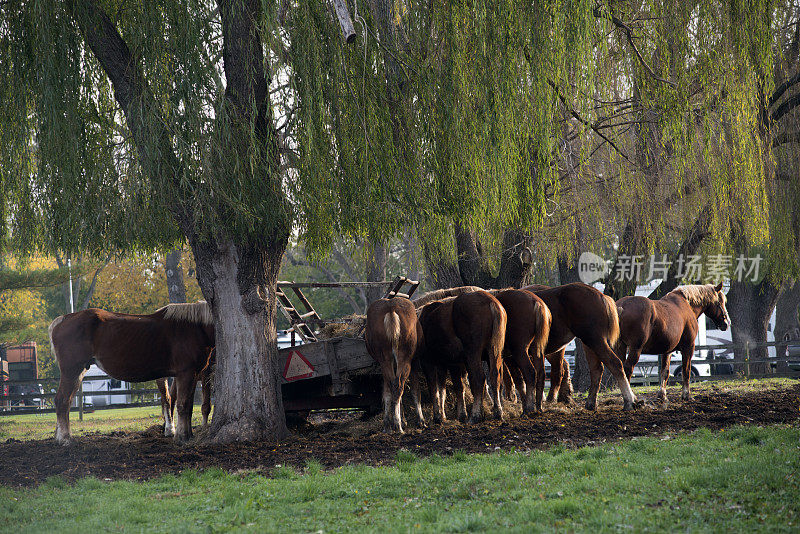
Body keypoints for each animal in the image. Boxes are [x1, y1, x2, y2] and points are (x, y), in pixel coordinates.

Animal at [48, 304, 214, 446]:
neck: (195, 328)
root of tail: (62, 320)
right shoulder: (186, 373)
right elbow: (183, 405)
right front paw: (182, 437)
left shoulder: (193, 375)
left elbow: (188, 406)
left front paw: (189, 435)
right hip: (72, 371)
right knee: (62, 401)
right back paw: (65, 439)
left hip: (79, 372)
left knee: (67, 401)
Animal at [364, 300, 424, 434]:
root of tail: (391, 310)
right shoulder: (415, 360)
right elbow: (415, 390)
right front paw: (421, 421)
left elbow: (388, 392)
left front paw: (402, 420)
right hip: (405, 356)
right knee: (399, 385)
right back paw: (398, 425)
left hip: (384, 357)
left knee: (392, 386)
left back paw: (389, 425)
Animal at [418, 292, 506, 426]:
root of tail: (492, 303)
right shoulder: (448, 363)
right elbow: (444, 389)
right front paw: (445, 415)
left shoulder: (433, 361)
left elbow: (438, 388)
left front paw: (440, 416)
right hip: (495, 350)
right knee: (495, 377)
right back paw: (498, 412)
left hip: (473, 352)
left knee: (479, 378)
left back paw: (474, 416)